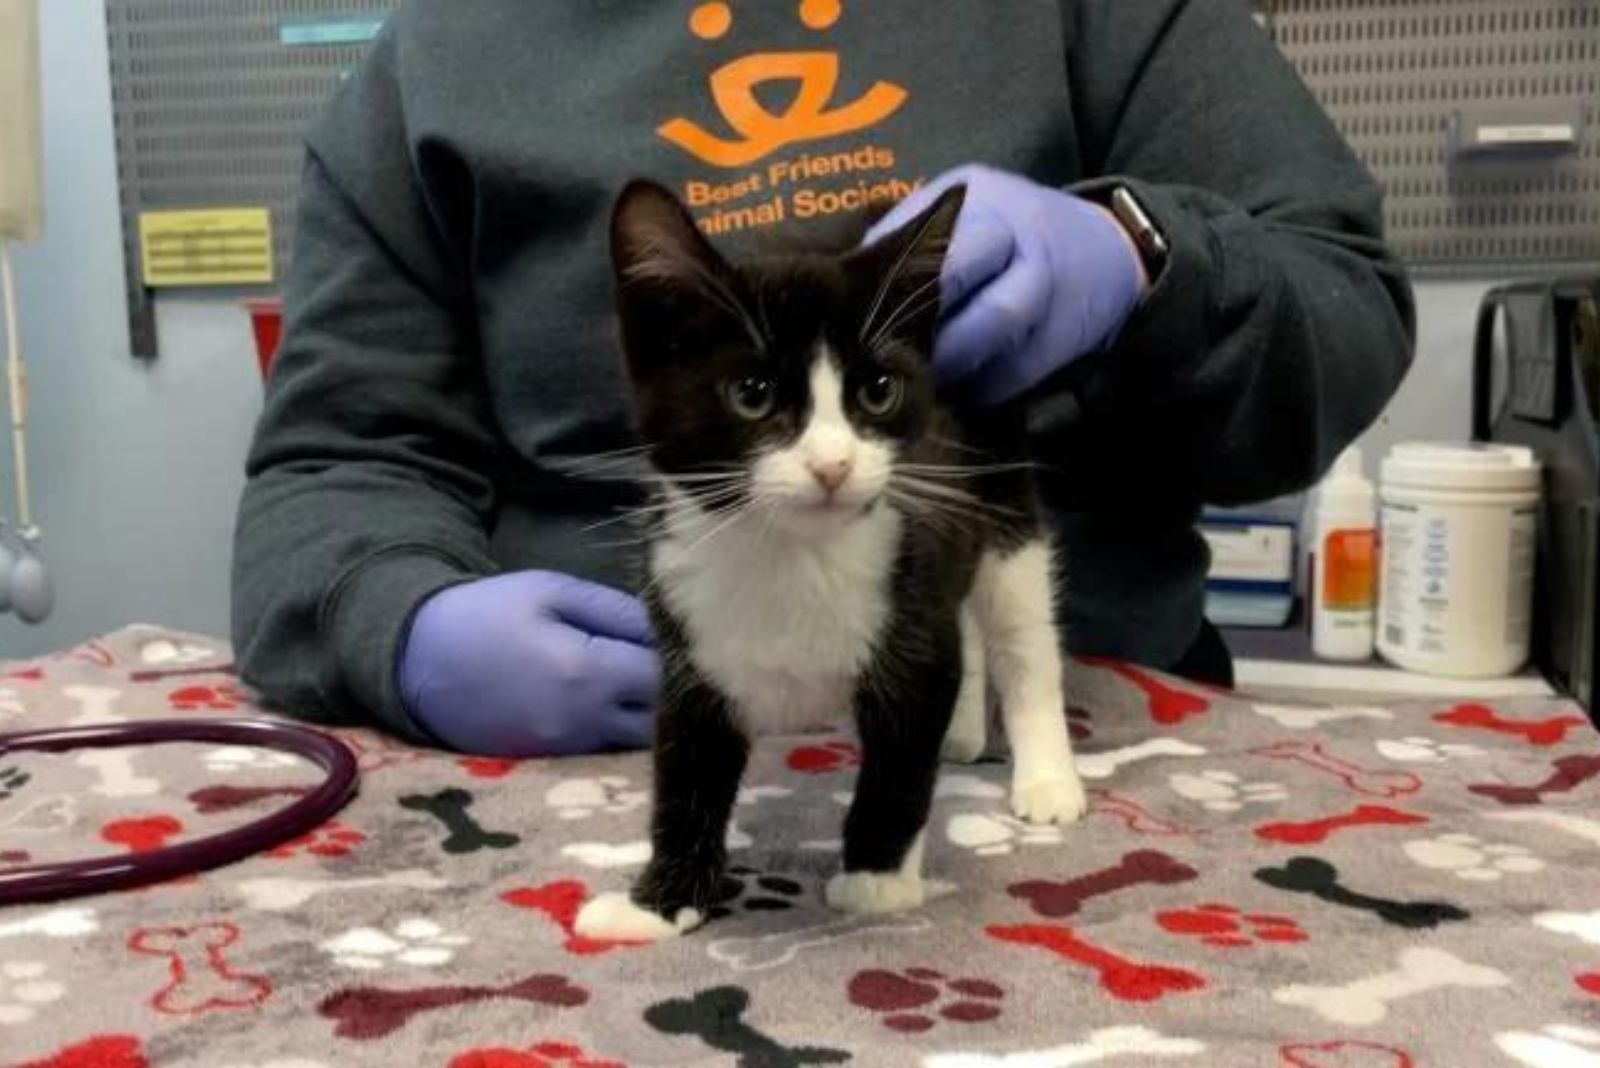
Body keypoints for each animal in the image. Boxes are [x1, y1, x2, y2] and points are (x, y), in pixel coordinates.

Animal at [576, 183, 1088, 940]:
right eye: (751, 393)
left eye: (878, 390)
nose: (833, 465)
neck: (792, 554)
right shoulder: (691, 643)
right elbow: (686, 771)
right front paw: (659, 901)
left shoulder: (911, 614)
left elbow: (900, 764)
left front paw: (878, 878)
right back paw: (963, 732)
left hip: (1000, 490)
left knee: (1021, 630)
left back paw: (1047, 775)